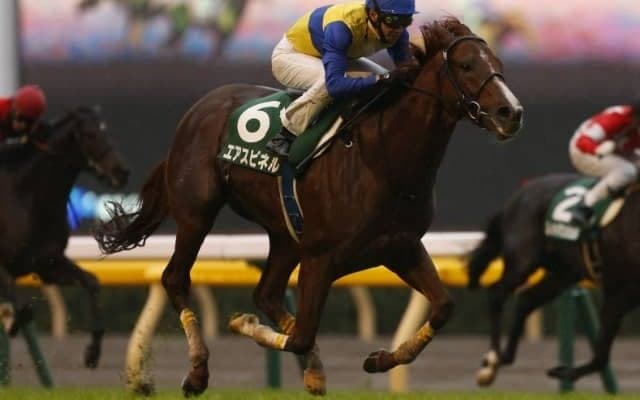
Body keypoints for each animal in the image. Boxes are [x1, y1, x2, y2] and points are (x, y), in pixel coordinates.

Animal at [0, 106, 129, 369]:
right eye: (90, 135)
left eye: (106, 130)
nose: (121, 172)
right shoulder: (5, 267)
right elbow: (18, 304)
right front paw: (12, 322)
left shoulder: (47, 264)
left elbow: (92, 282)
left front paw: (92, 352)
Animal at [94, 17, 522, 396]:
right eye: (466, 65)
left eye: (498, 64)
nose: (511, 113)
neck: (382, 158)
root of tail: (199, 109)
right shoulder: (321, 256)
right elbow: (300, 335)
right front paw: (241, 325)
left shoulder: (400, 246)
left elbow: (443, 306)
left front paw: (379, 359)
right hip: (197, 212)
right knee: (175, 279)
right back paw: (198, 371)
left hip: (285, 234)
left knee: (267, 293)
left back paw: (311, 371)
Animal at [466, 172, 640, 387]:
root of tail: (516, 197)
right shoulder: (619, 290)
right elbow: (601, 355)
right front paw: (564, 372)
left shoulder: (626, 295)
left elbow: (601, 356)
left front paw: (563, 372)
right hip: (523, 260)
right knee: (497, 293)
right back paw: (493, 357)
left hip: (561, 273)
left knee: (526, 300)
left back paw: (504, 357)